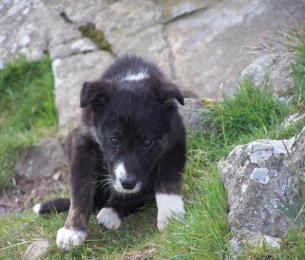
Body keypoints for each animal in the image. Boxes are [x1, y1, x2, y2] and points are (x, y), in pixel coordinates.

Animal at [32, 55, 185, 251]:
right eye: (114, 140)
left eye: (147, 142)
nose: (128, 183)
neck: (132, 77)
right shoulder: (83, 141)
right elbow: (80, 188)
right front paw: (73, 230)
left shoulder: (175, 137)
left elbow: (168, 180)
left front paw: (170, 215)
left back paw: (113, 210)